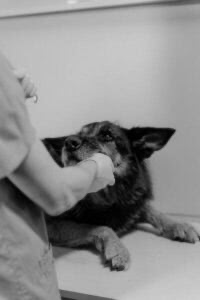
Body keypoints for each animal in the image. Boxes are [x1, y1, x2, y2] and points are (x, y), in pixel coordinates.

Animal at [43, 120, 199, 270]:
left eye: (107, 136)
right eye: (79, 134)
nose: (69, 141)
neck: (108, 196)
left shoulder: (133, 202)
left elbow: (152, 210)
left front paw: (181, 225)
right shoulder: (51, 224)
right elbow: (103, 227)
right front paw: (118, 250)